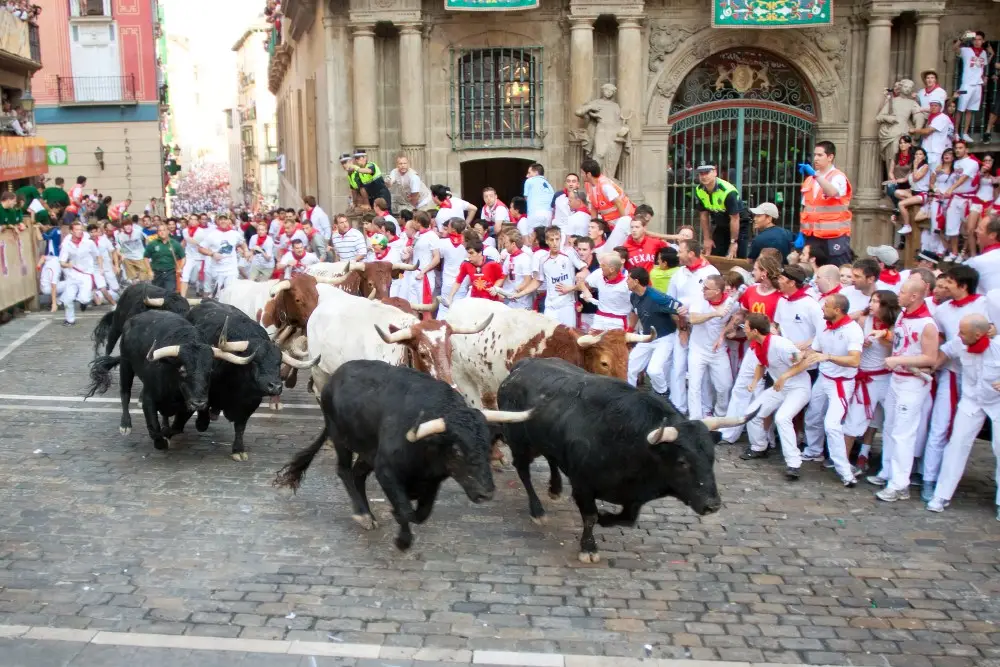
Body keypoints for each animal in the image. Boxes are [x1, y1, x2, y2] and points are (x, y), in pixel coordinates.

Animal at [496, 360, 752, 564]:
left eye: (712, 458)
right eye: (682, 462)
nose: (713, 505)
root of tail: (522, 366)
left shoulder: (634, 495)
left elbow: (627, 519)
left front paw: (606, 518)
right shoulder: (583, 486)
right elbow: (590, 516)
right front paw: (589, 548)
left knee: (550, 458)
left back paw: (555, 489)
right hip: (519, 442)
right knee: (523, 471)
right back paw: (537, 510)